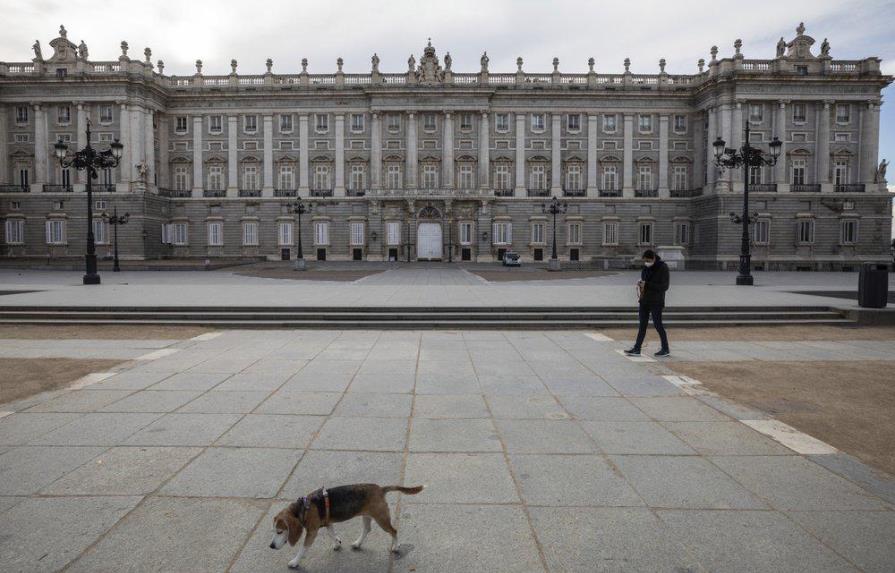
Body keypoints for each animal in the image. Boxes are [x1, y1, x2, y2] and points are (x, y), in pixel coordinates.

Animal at [270, 482, 424, 568]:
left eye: (280, 531)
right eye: (274, 531)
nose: (271, 546)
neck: (301, 508)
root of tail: (380, 489)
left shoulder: (312, 532)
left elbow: (303, 548)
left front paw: (295, 562)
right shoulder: (328, 523)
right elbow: (332, 533)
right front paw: (337, 543)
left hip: (382, 519)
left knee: (394, 531)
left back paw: (396, 546)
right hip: (367, 516)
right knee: (367, 529)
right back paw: (357, 543)